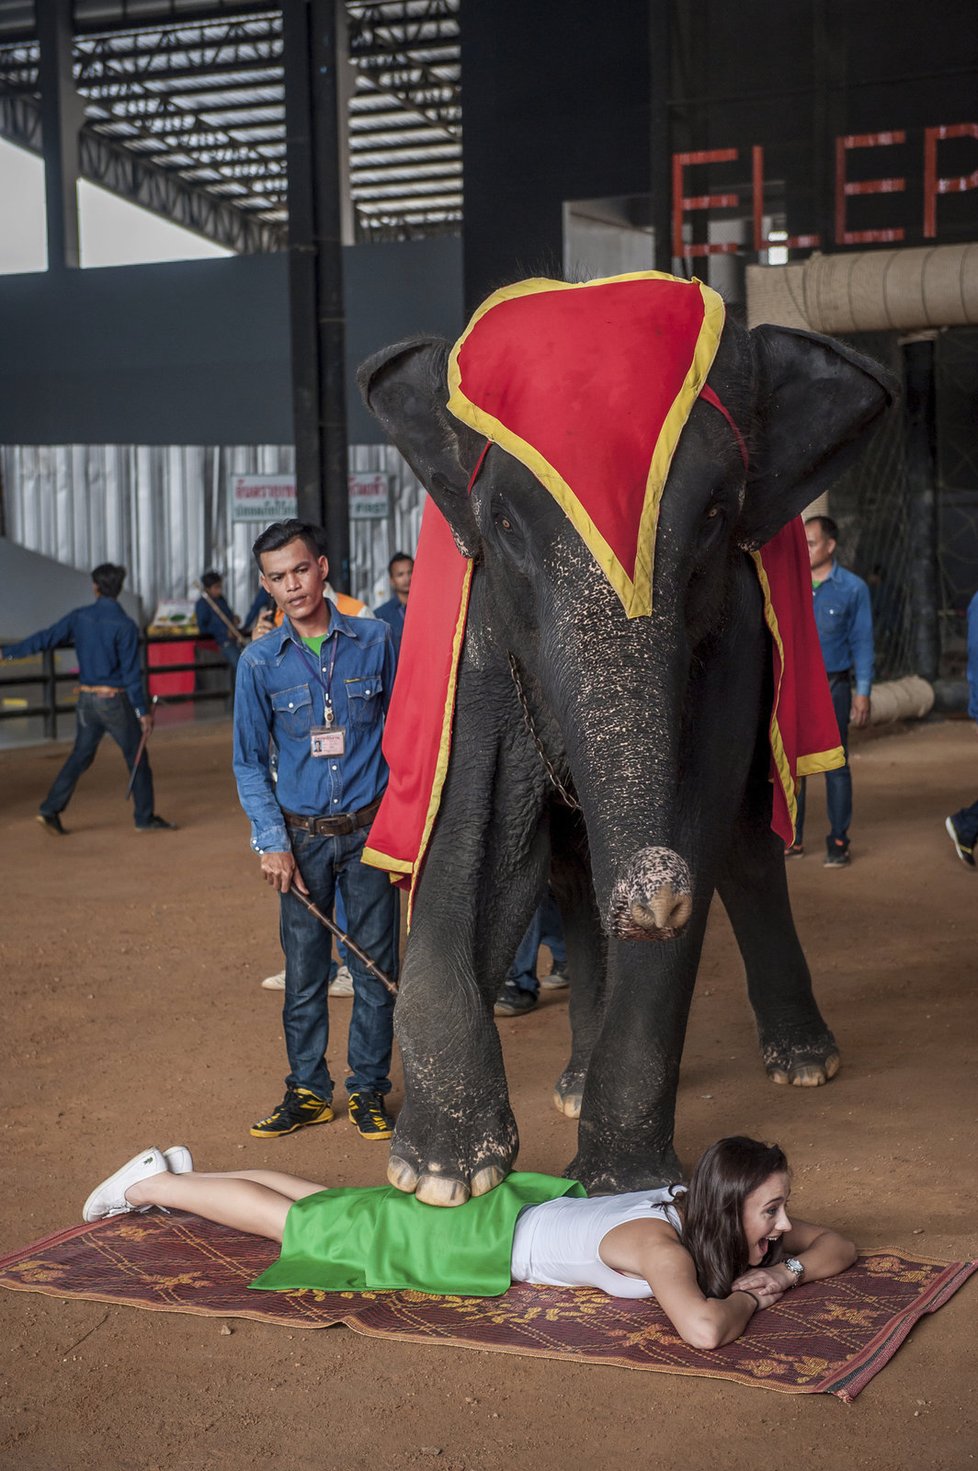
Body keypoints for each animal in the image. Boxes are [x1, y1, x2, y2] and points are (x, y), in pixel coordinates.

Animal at [358, 289, 894, 1206]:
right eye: (503, 521)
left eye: (715, 515)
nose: (653, 894)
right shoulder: (476, 635)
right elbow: (480, 844)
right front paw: (438, 1173)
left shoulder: (733, 634)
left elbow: (699, 821)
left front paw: (616, 1187)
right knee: (575, 877)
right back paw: (573, 1082)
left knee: (746, 849)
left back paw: (803, 1063)